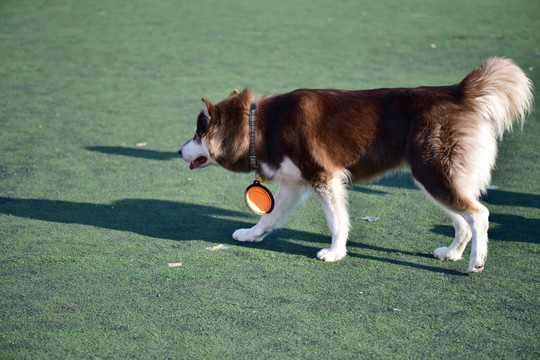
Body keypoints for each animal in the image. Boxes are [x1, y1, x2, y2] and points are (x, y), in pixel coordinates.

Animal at [179, 58, 532, 272]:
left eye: (197, 133)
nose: (180, 151)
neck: (259, 125)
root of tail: (457, 91)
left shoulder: (325, 177)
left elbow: (337, 221)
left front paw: (335, 253)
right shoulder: (295, 183)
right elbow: (270, 216)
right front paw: (252, 235)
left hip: (432, 173)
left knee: (479, 215)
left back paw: (476, 263)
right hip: (433, 179)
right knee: (463, 221)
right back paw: (452, 253)